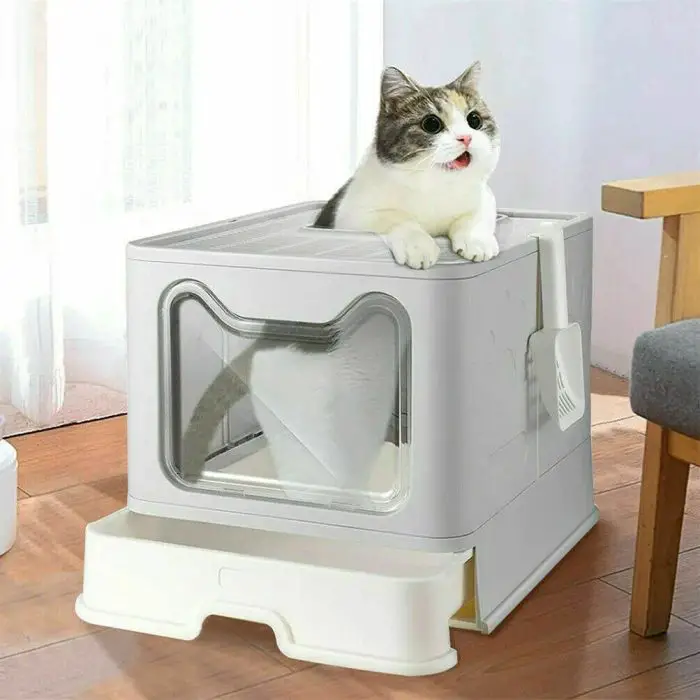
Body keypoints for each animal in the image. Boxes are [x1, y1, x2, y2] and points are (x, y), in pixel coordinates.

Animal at [314, 60, 500, 268]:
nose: (466, 137)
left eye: (474, 120)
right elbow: (396, 218)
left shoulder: (484, 196)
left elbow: (474, 215)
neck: (434, 185)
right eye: (431, 124)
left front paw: (476, 241)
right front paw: (419, 246)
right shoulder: (350, 215)